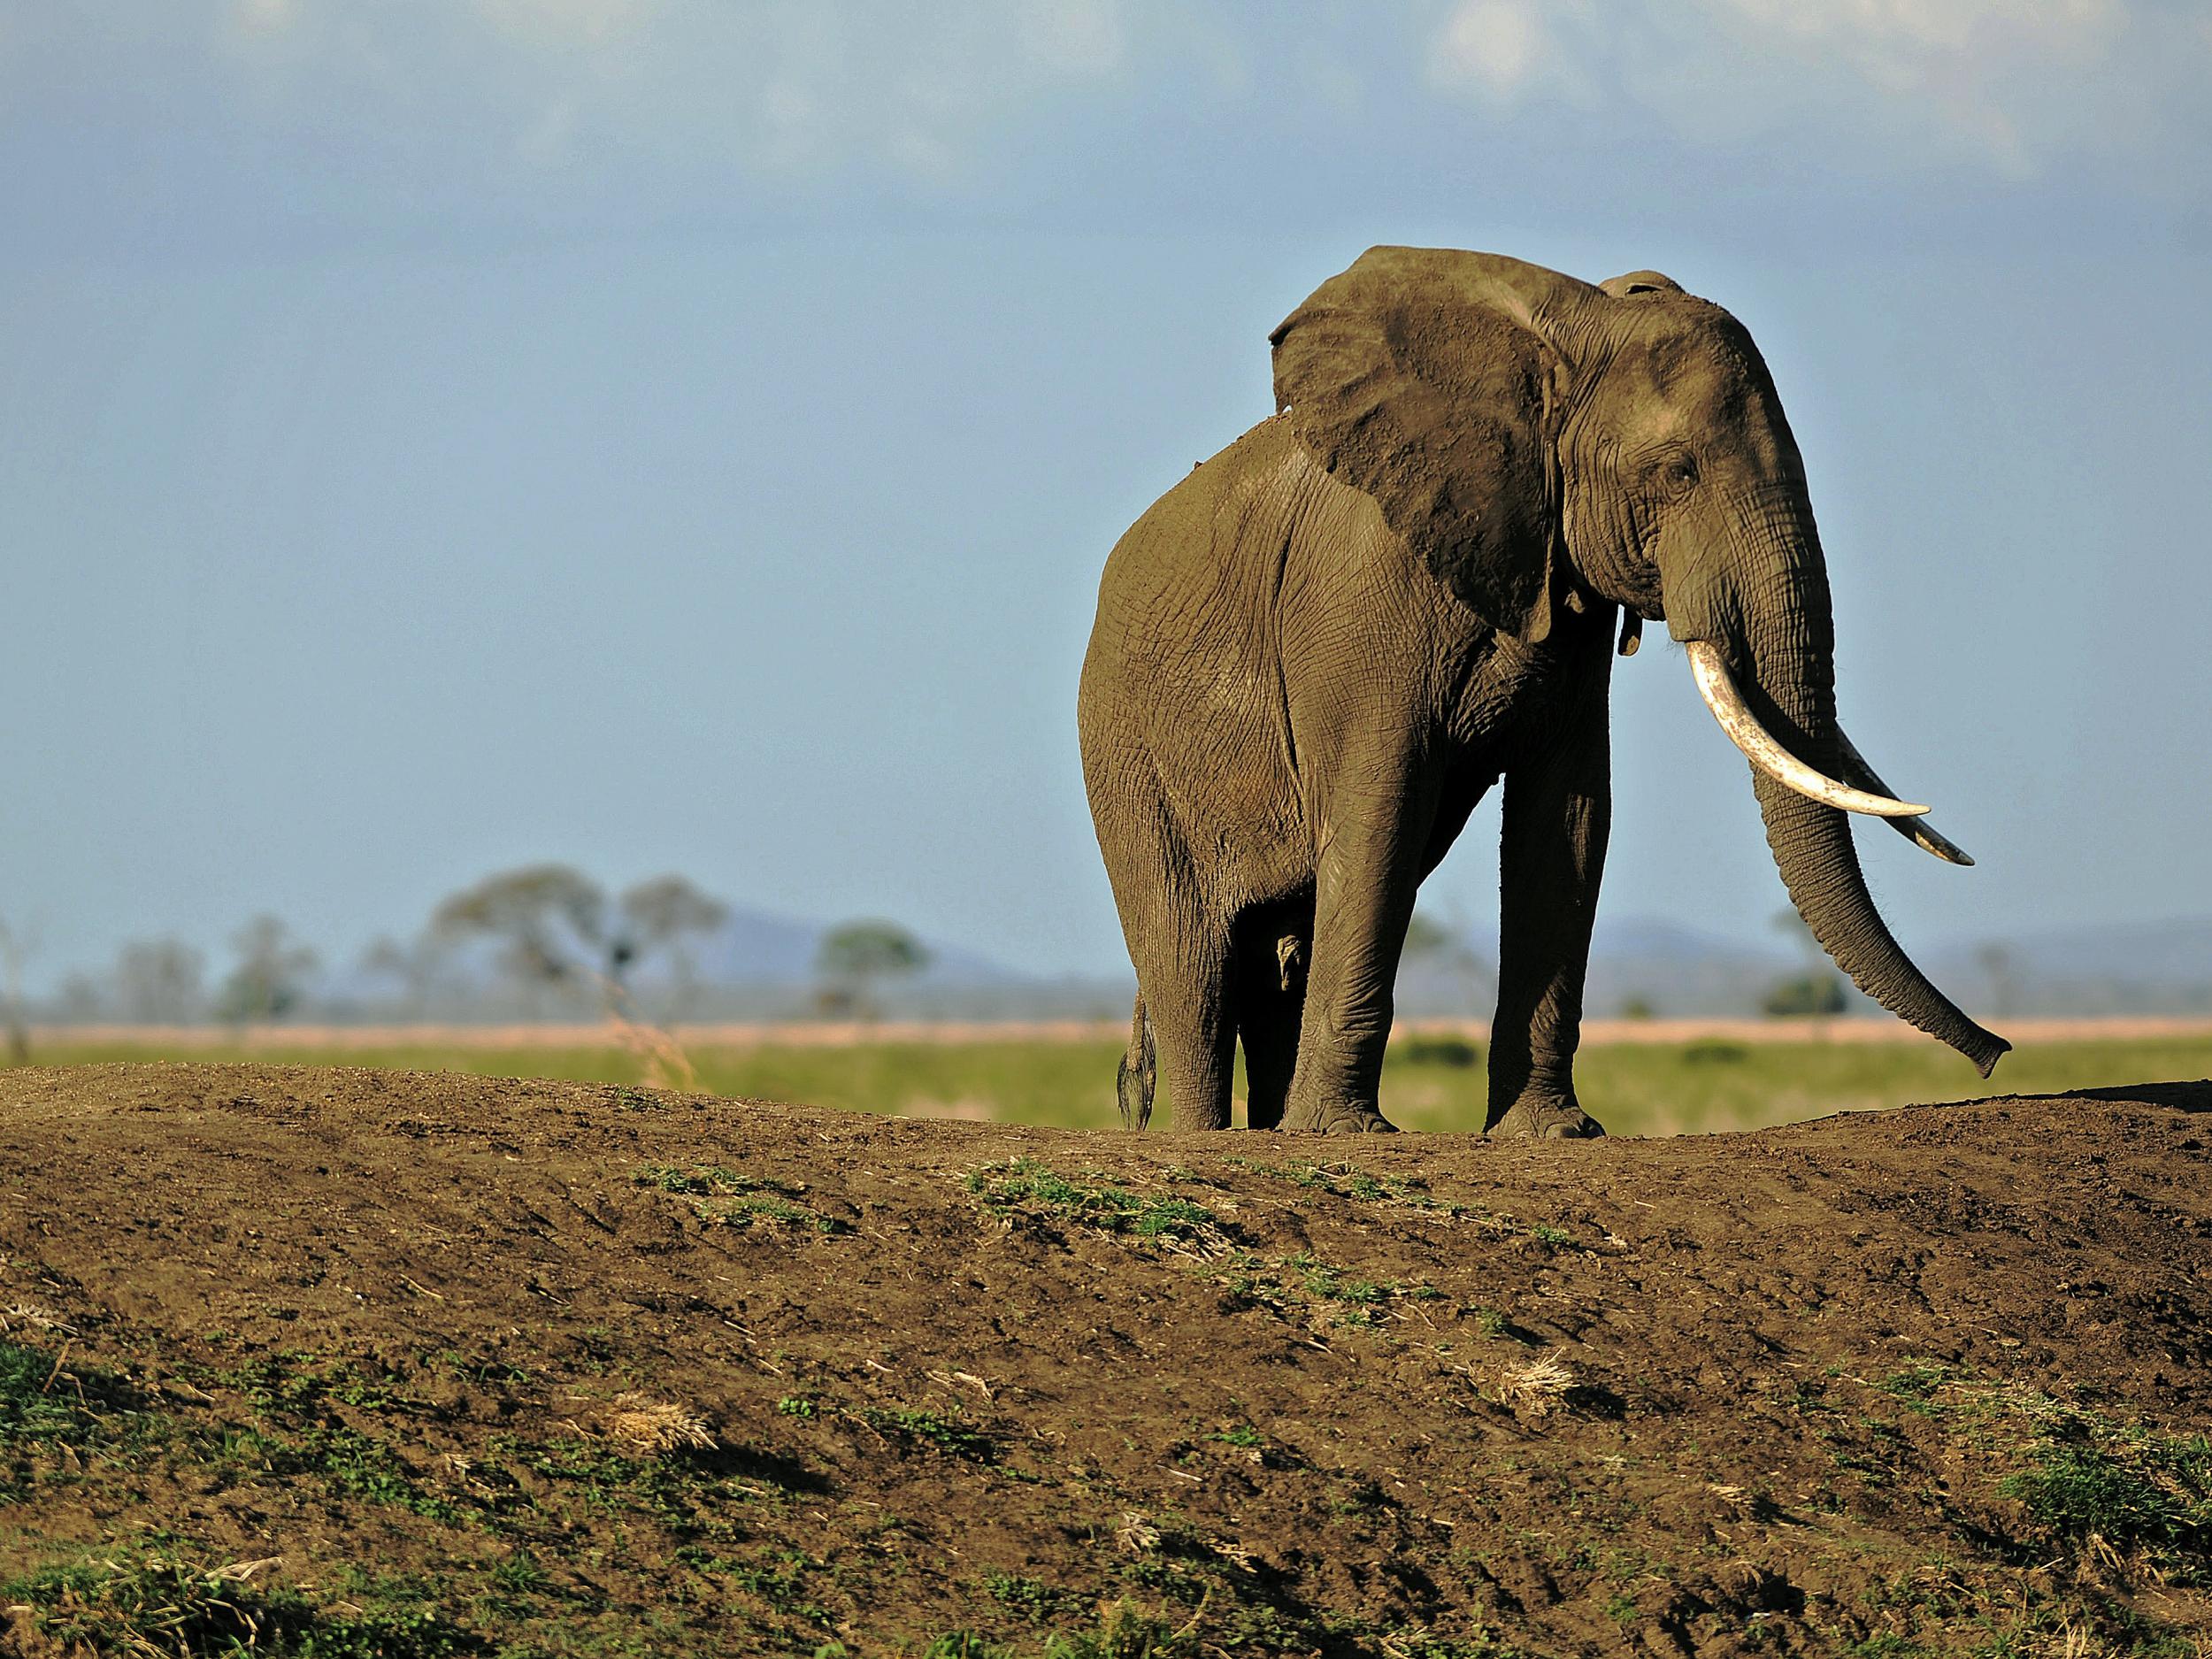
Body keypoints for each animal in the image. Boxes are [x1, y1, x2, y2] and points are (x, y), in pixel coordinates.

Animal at [1079, 246, 2017, 1141]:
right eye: (1677, 473)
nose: (1996, 1054)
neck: (1562, 337)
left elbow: (1568, 817)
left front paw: (1555, 1131)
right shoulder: (1363, 597)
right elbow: (1382, 812)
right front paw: (1349, 1133)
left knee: (1278, 949)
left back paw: (1274, 1127)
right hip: (1123, 750)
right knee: (1194, 959)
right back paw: (1214, 1133)